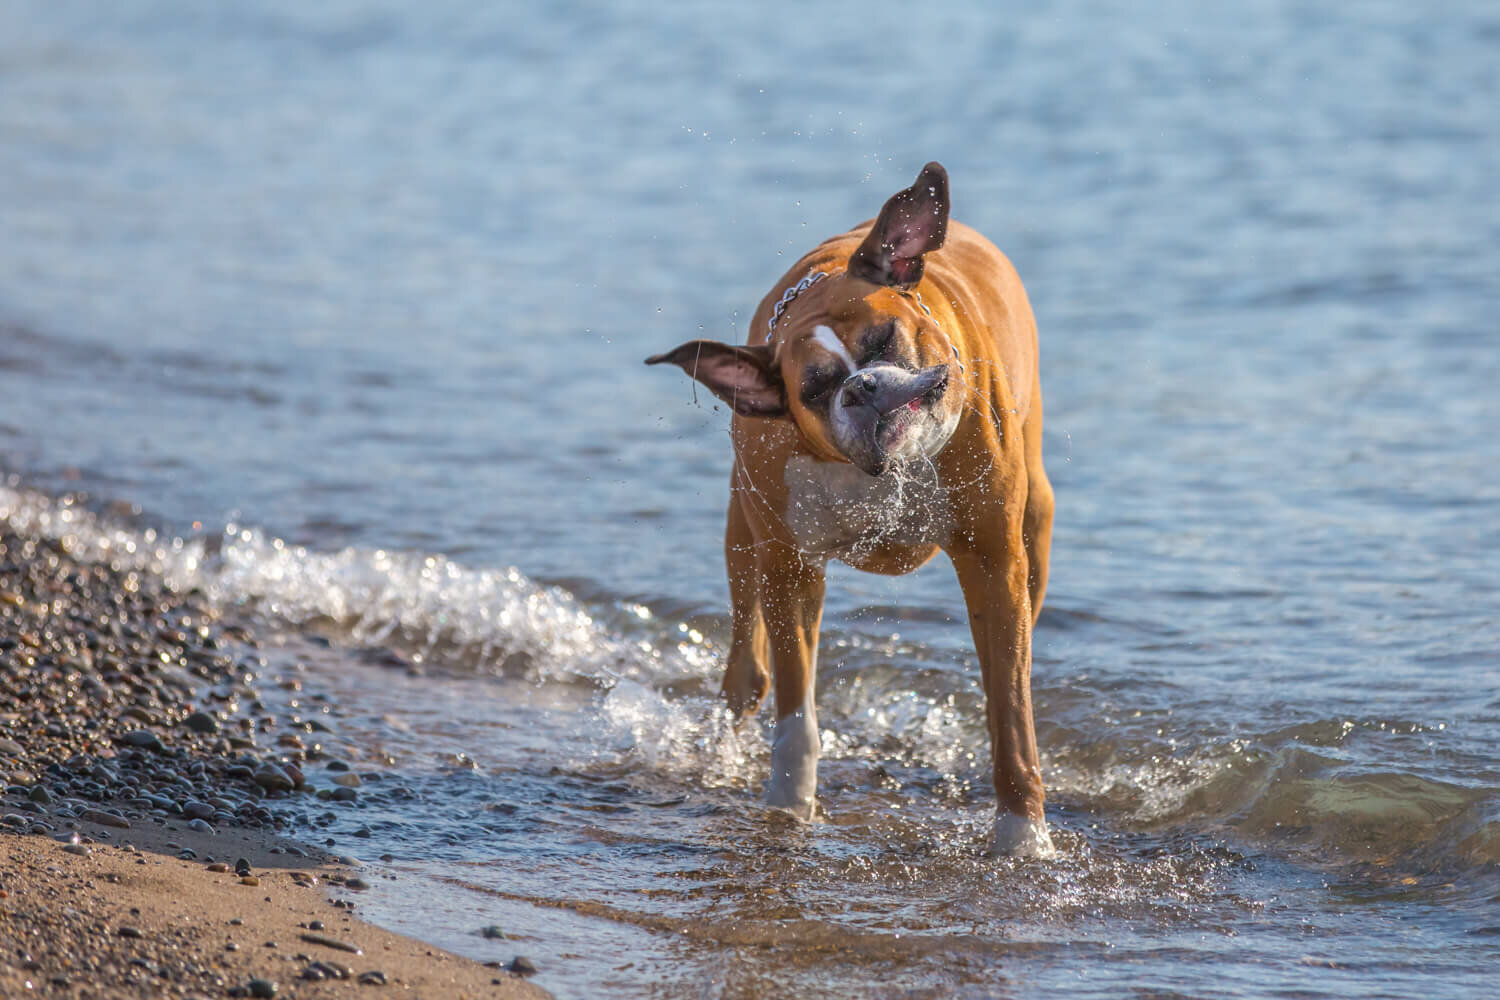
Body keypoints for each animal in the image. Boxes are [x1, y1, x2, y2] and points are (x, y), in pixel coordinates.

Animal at [645, 164, 1056, 863]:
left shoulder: (995, 562)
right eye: (813, 388)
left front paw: (1023, 838)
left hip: (1036, 530)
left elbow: (1011, 714)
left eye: (883, 339)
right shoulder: (788, 569)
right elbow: (795, 716)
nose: (862, 388)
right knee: (747, 668)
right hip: (741, 538)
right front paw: (788, 808)